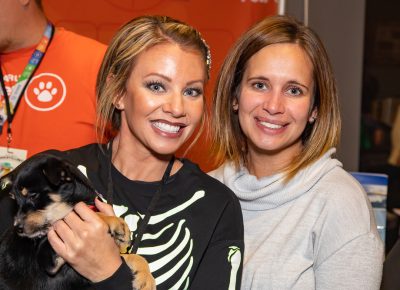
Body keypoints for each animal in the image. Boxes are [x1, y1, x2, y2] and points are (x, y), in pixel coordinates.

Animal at [0, 153, 155, 288]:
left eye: (33, 195)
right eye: (14, 199)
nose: (18, 228)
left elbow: (132, 256)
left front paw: (146, 278)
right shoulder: (49, 260)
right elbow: (76, 213)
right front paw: (116, 223)